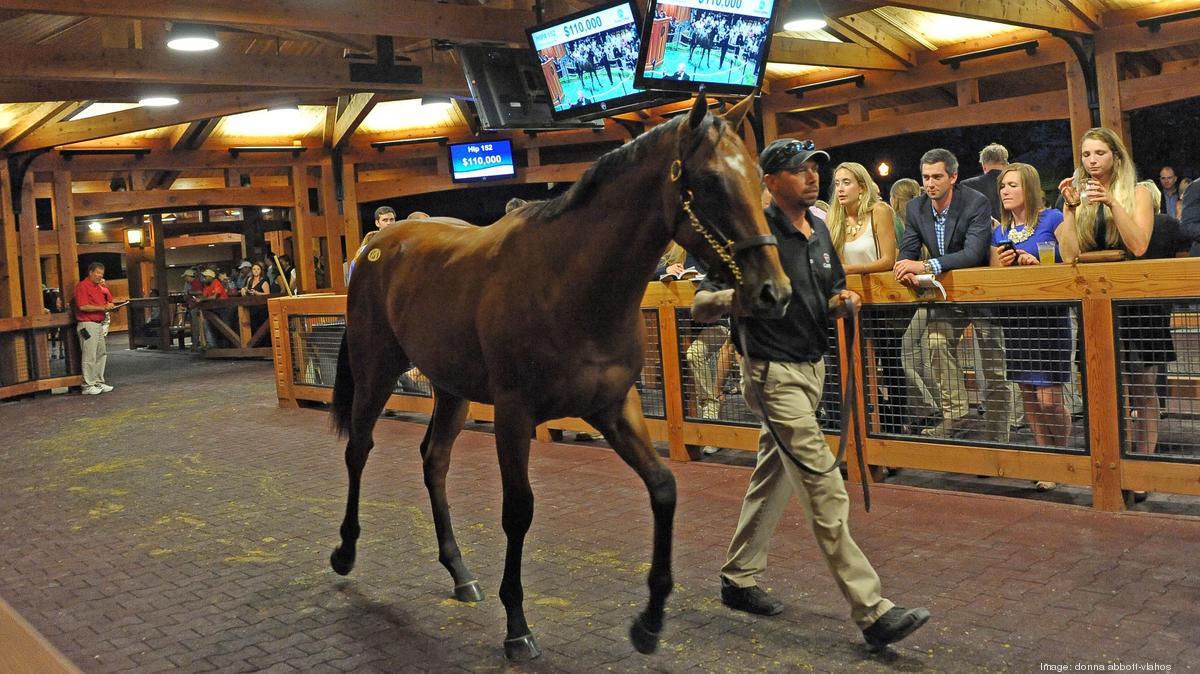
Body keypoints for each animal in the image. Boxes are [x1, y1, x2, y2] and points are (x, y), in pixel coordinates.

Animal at [328, 94, 792, 662]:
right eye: (708, 181)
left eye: (759, 179)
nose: (774, 291)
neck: (569, 283)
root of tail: (378, 244)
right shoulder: (514, 412)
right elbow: (518, 510)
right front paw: (517, 626)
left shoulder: (615, 407)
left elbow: (663, 488)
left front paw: (649, 621)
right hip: (376, 369)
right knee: (359, 449)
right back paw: (346, 552)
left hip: (452, 388)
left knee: (434, 461)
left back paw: (459, 572)